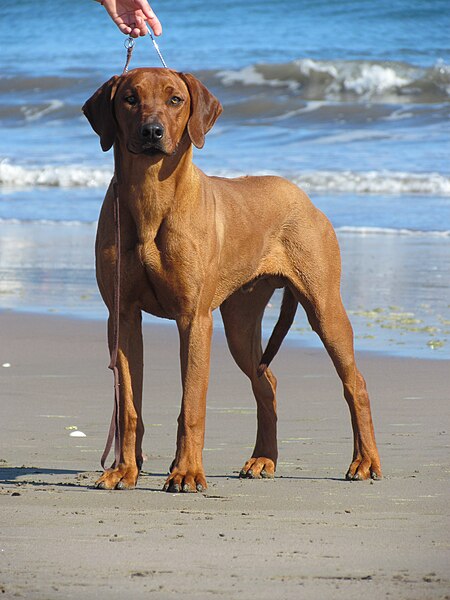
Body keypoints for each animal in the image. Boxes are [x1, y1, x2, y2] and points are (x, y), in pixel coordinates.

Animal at [82, 69, 382, 492]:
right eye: (129, 98)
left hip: (325, 307)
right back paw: (263, 458)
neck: (151, 194)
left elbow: (192, 403)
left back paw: (365, 460)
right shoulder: (121, 316)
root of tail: (301, 195)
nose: (152, 131)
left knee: (355, 383)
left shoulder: (194, 320)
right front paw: (125, 469)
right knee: (266, 382)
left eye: (175, 99)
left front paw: (187, 472)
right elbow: (127, 404)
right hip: (241, 323)